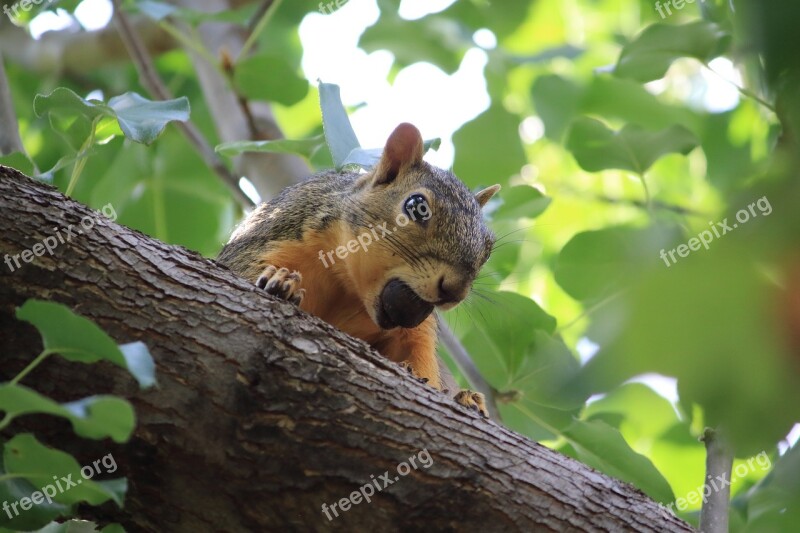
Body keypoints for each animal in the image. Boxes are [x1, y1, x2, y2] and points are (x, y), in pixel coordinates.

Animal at [219, 123, 500, 416]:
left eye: (488, 248)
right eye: (416, 206)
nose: (455, 291)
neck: (348, 285)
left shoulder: (416, 332)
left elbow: (421, 363)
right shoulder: (272, 237)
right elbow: (240, 271)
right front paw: (280, 282)